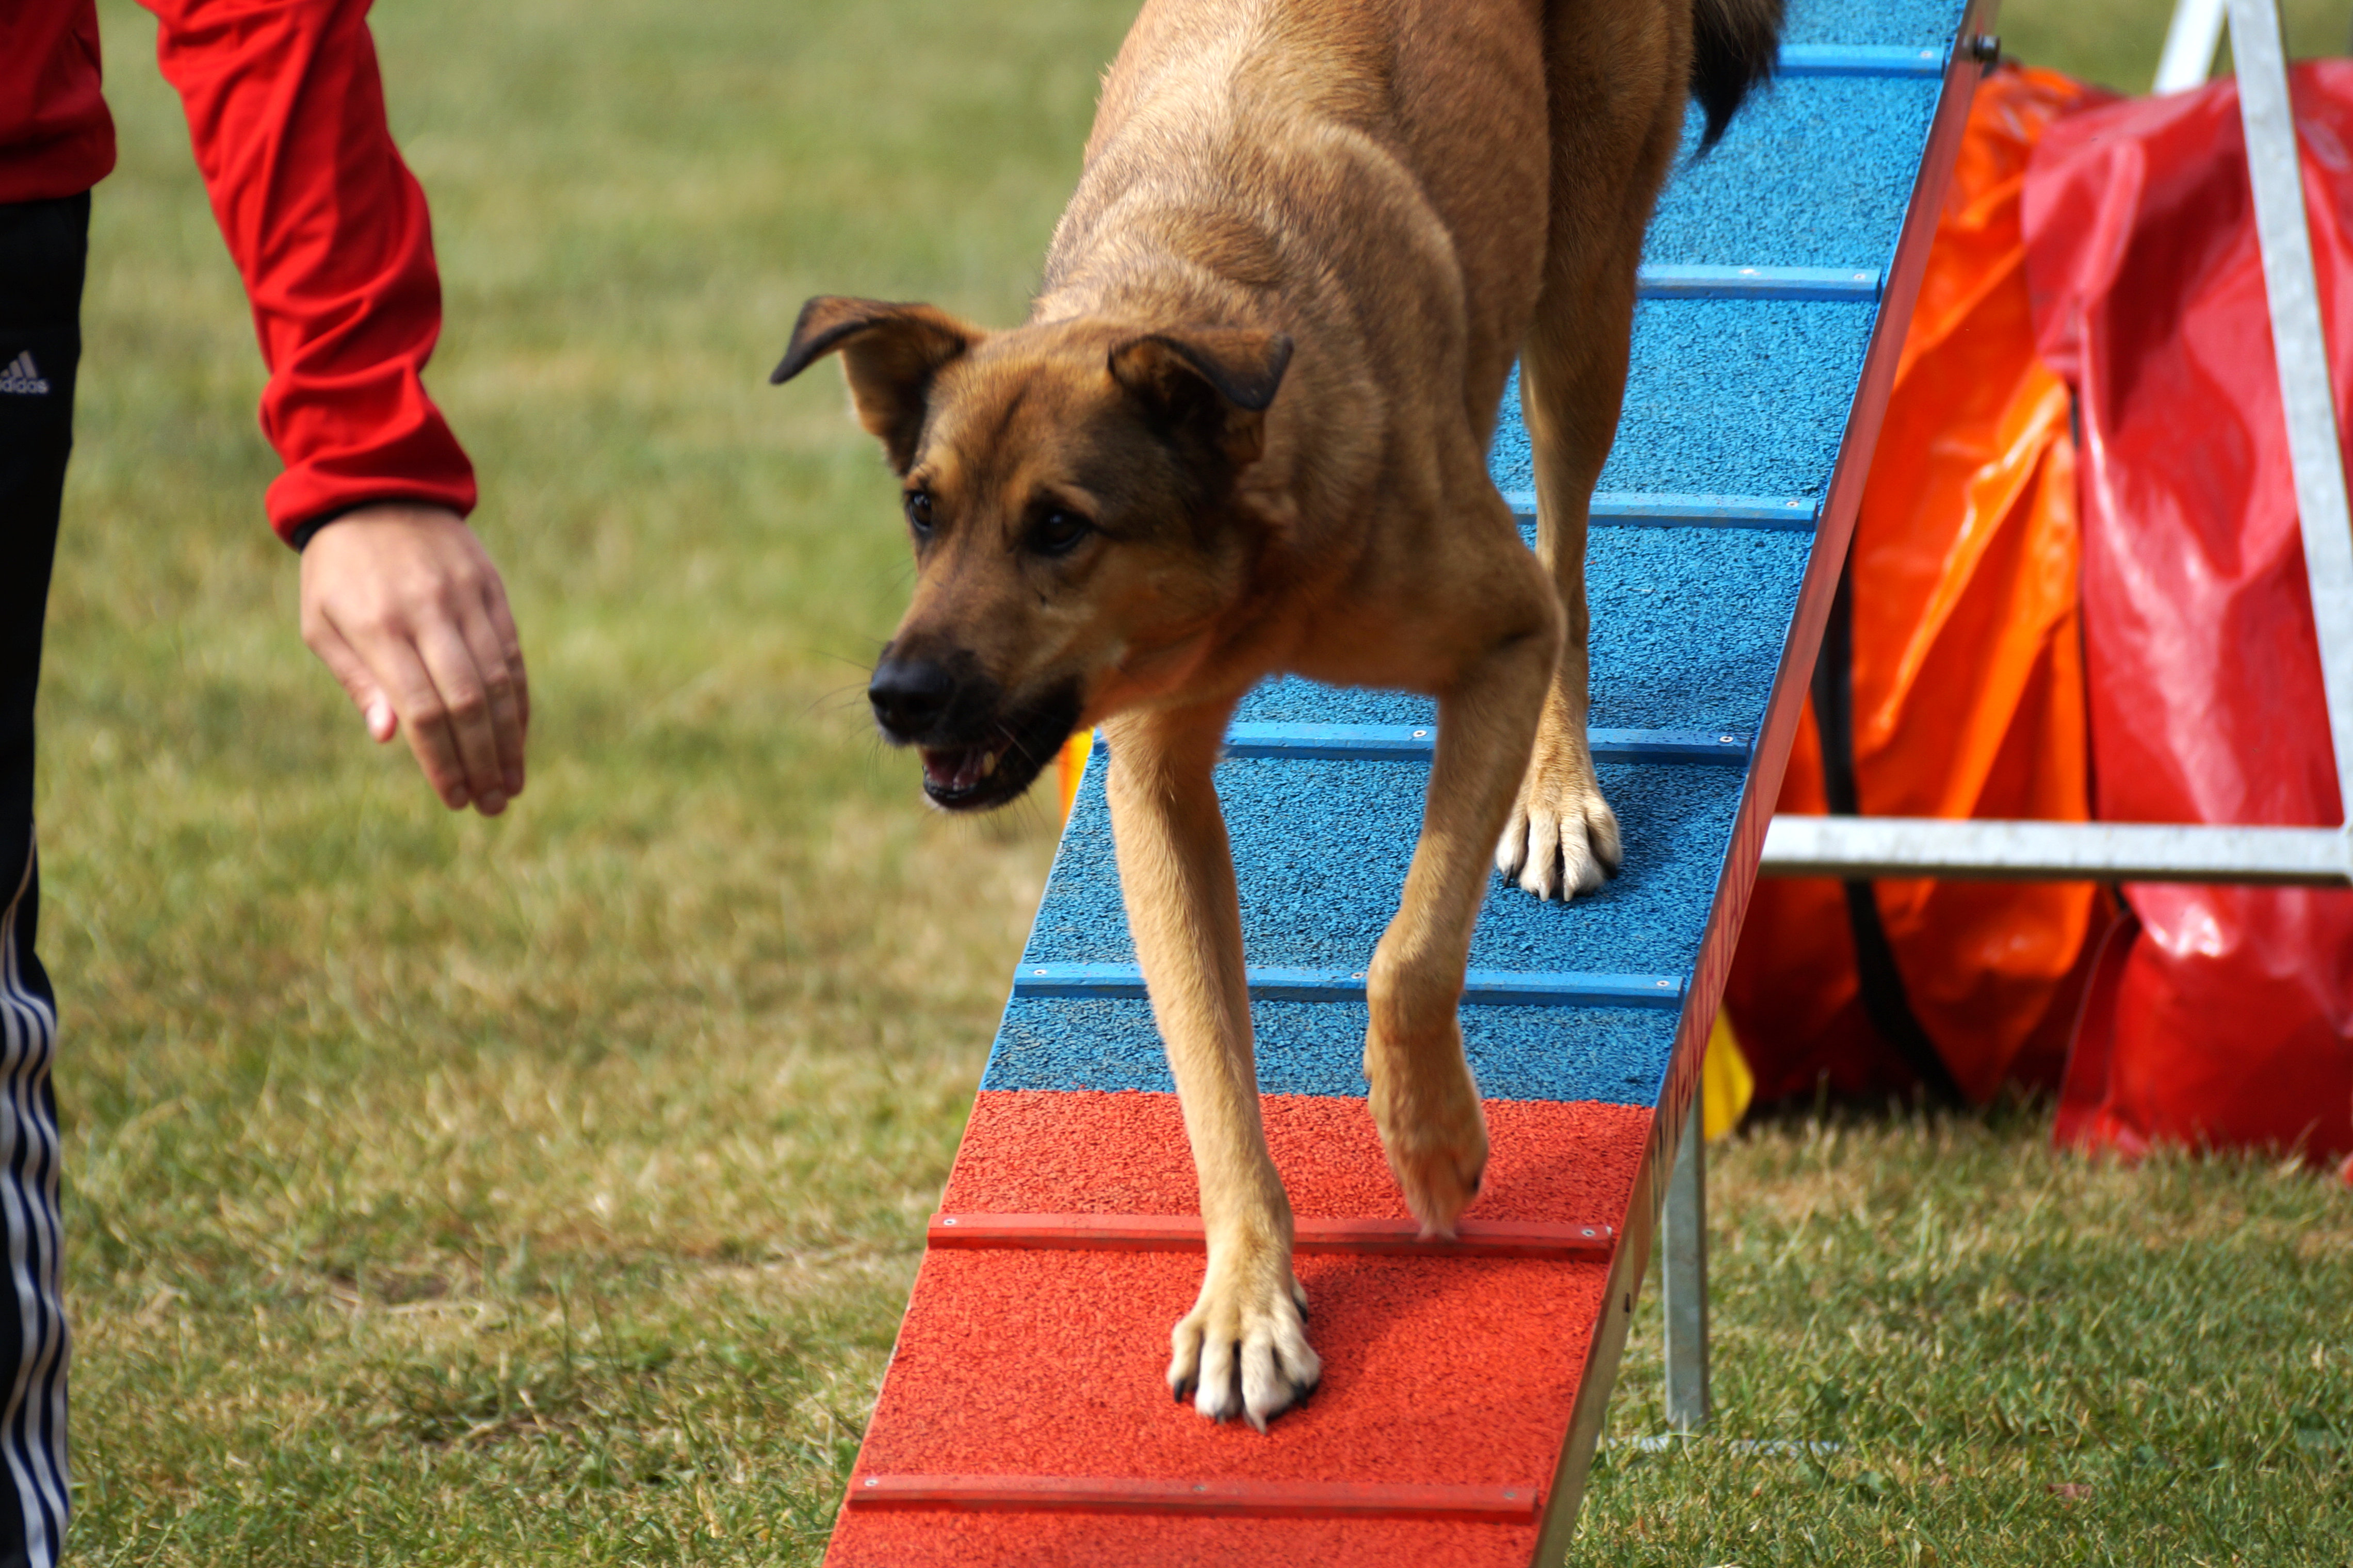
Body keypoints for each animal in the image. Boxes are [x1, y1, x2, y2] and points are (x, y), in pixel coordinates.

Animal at [781, 0, 1769, 1439]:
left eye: (1059, 527)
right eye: (922, 506)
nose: (896, 695)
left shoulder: (1495, 634)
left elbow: (1409, 948)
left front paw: (1434, 1143)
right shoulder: (1151, 786)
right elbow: (1208, 1067)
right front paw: (1248, 1301)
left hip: (1581, 303)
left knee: (1571, 554)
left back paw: (1554, 789)